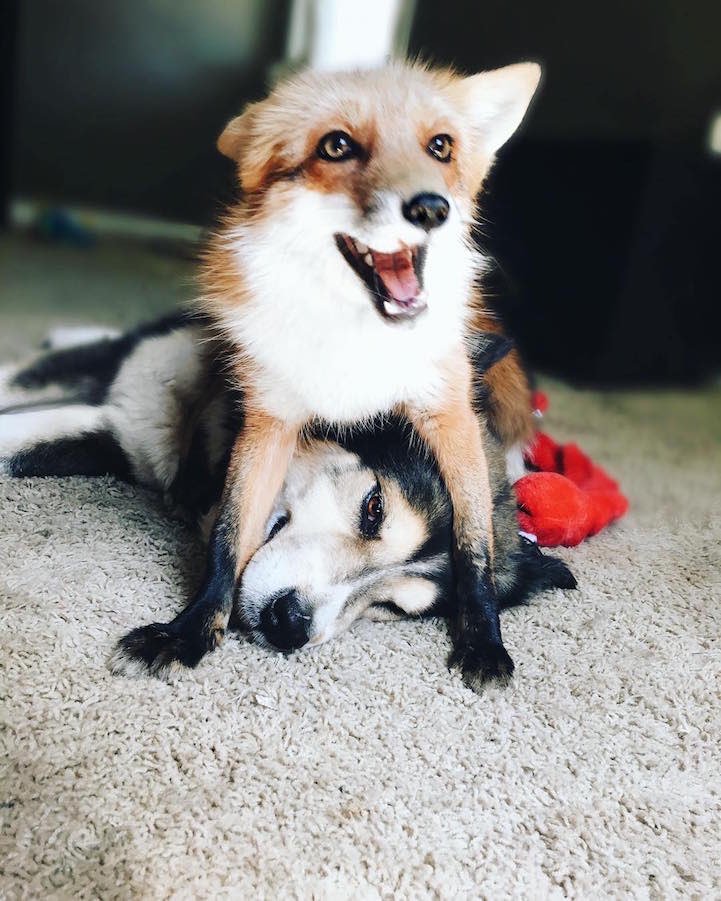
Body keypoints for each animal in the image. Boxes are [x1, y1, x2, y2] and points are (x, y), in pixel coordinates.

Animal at [110, 61, 543, 690]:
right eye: (373, 509)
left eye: (391, 607)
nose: (288, 623)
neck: (352, 340)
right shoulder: (269, 419)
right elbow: (230, 538)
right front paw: (189, 631)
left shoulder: (450, 416)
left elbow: (475, 546)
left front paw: (484, 638)